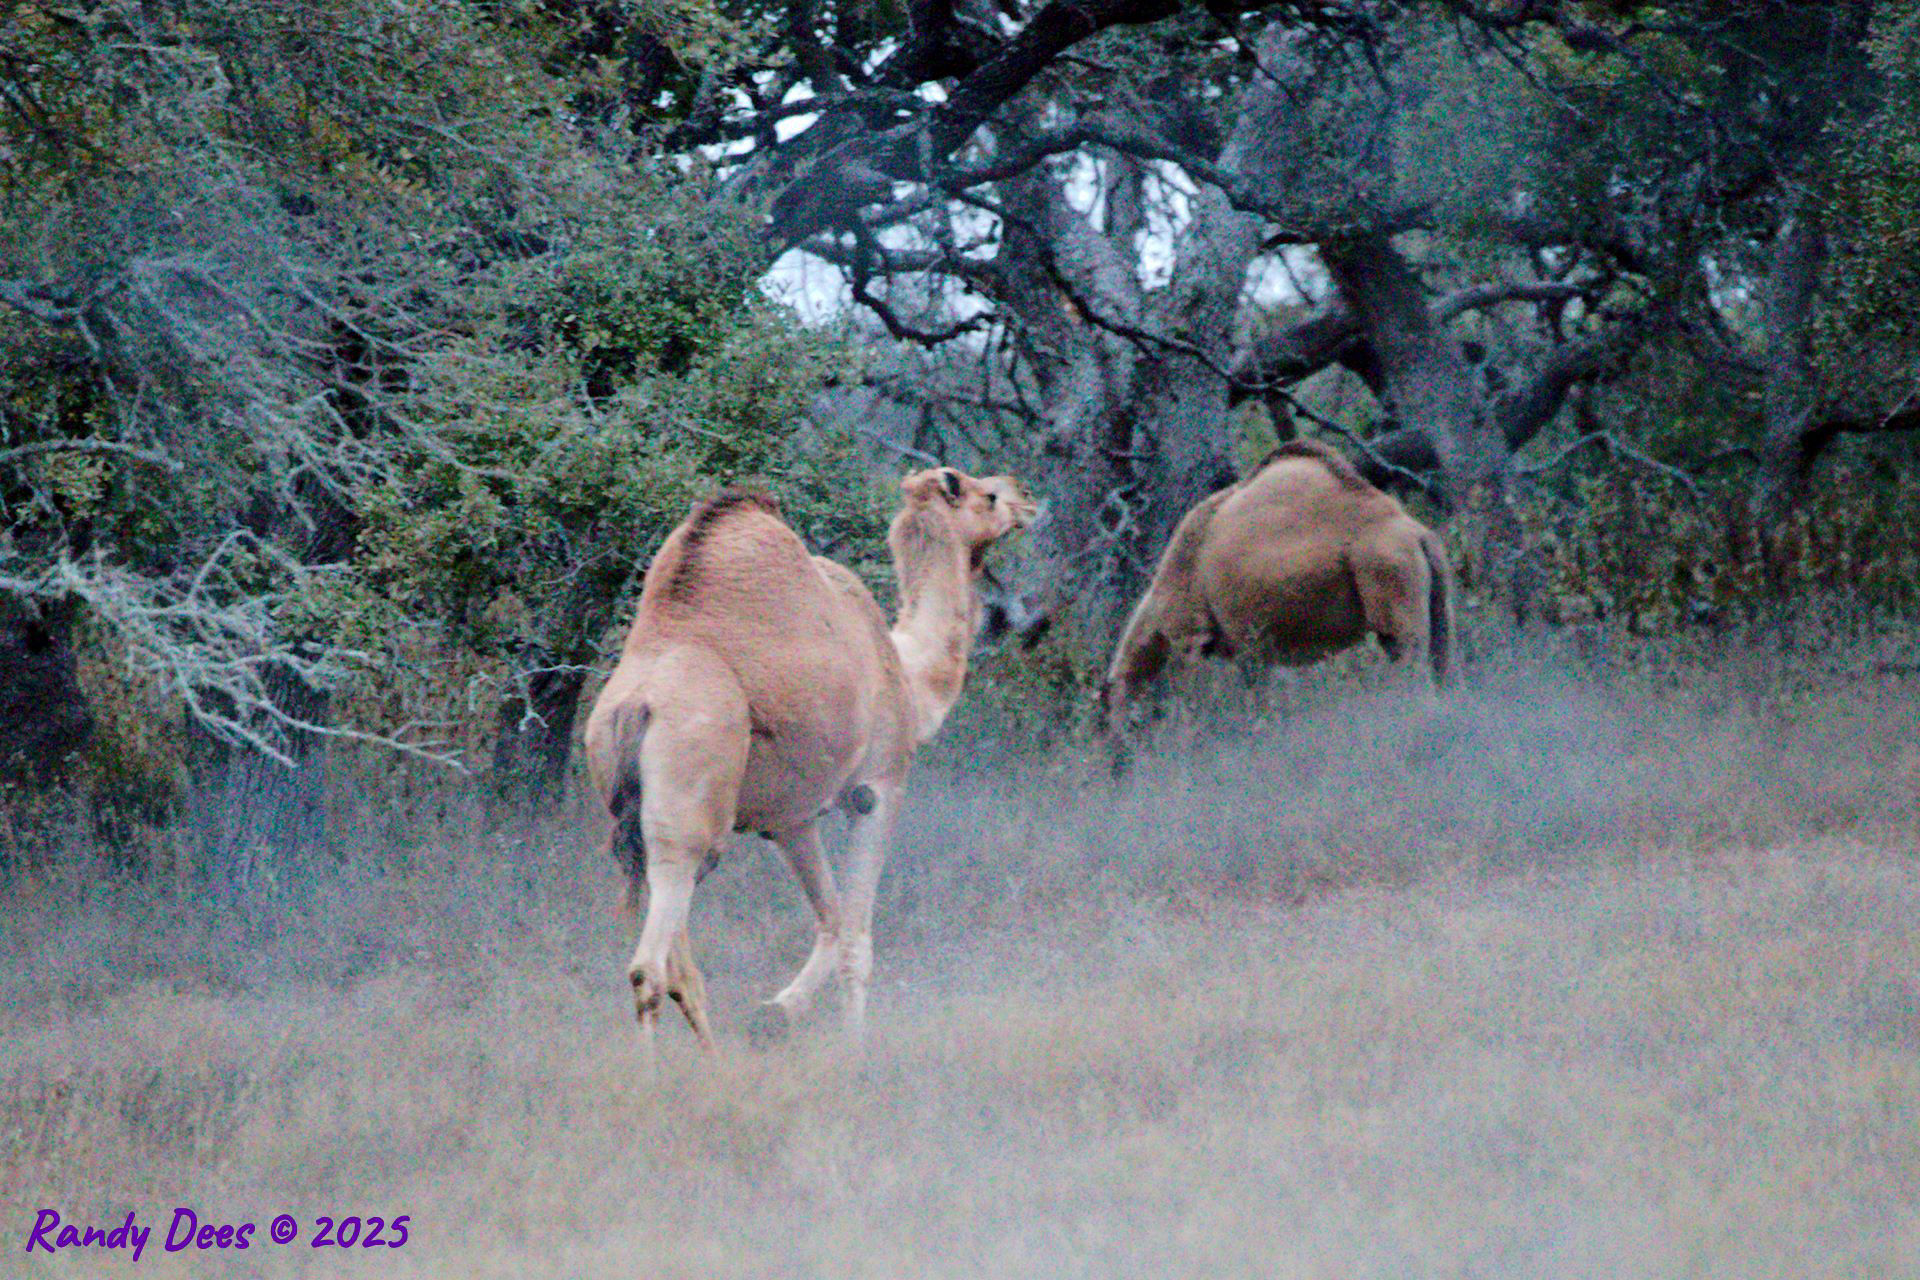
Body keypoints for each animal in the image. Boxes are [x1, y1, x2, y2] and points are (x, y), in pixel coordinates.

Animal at [583, 466, 1036, 1059]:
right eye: (989, 496)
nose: (1027, 496)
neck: (906, 675)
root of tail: (635, 706)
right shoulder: (878, 788)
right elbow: (857, 937)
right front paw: (853, 1050)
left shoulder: (790, 820)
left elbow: (833, 921)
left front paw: (775, 1012)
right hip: (690, 815)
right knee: (648, 970)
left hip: (647, 824)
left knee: (680, 967)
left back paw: (715, 1062)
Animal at [1105, 441, 1443, 729]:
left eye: (1113, 719)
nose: (1117, 757)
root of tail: (1420, 534)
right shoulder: (1248, 648)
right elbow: (1259, 696)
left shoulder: (1191, 635)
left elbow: (1195, 695)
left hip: (1387, 574)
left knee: (1412, 665)